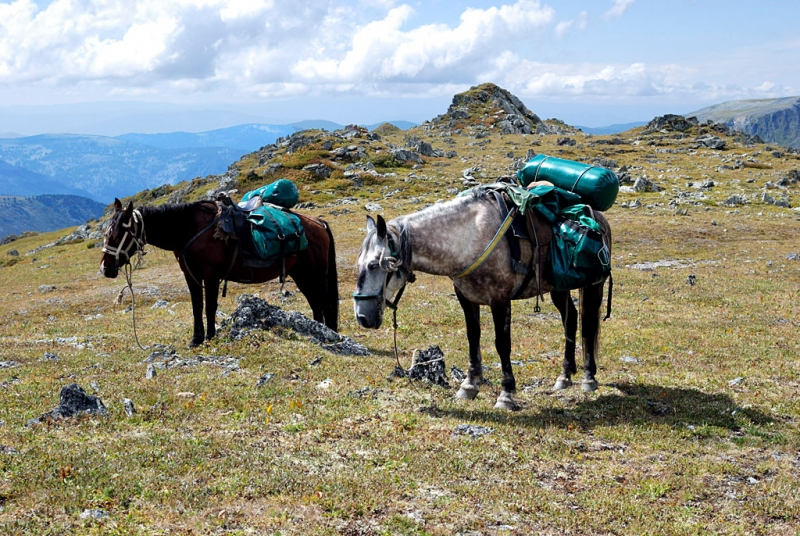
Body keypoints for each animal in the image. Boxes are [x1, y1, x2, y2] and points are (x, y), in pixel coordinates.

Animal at [100, 199, 338, 346]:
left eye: (118, 234)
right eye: (106, 233)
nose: (105, 269)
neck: (189, 229)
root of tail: (319, 223)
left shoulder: (211, 275)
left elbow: (210, 307)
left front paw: (210, 336)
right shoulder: (191, 275)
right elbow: (197, 307)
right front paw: (196, 339)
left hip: (315, 276)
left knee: (325, 304)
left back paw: (329, 334)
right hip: (302, 276)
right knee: (317, 305)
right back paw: (319, 331)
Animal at [352, 188, 612, 410]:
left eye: (374, 265)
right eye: (359, 264)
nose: (362, 317)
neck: (469, 239)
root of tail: (599, 217)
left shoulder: (500, 300)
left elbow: (502, 344)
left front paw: (506, 394)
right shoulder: (466, 298)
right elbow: (472, 337)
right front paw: (469, 385)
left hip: (594, 286)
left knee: (588, 324)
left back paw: (589, 378)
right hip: (558, 287)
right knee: (571, 319)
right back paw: (564, 376)